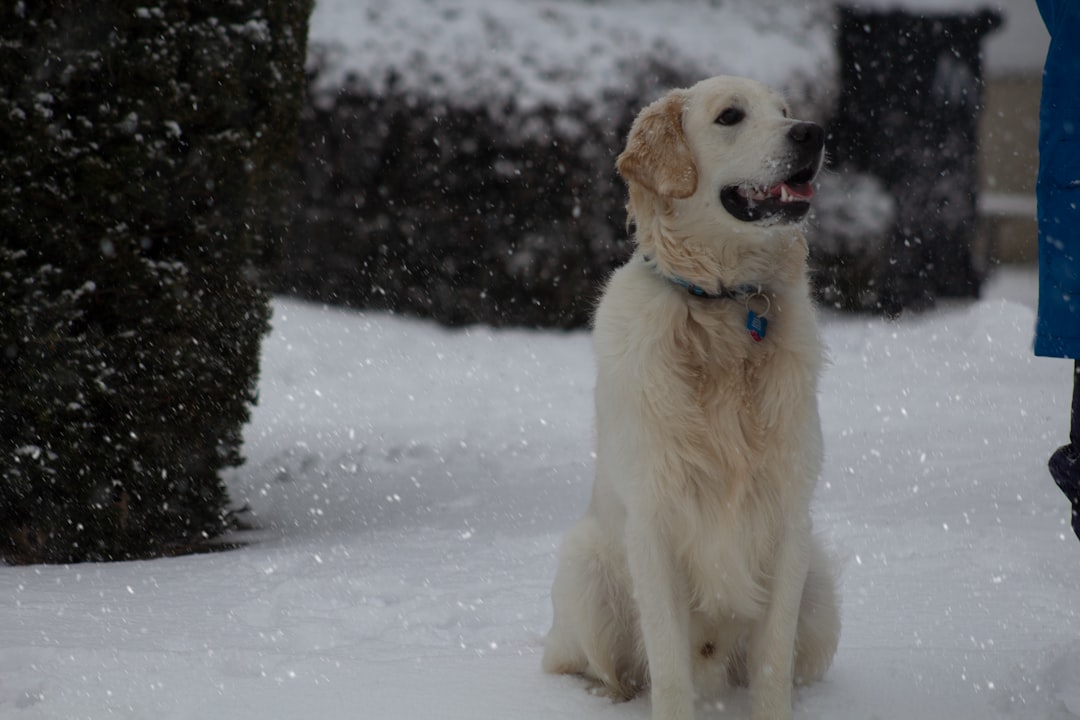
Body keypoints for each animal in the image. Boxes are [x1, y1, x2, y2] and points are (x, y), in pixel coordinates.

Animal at [544, 74, 838, 720]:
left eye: (784, 110)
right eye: (730, 116)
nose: (812, 132)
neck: (722, 306)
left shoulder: (789, 519)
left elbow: (772, 663)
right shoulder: (654, 523)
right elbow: (669, 667)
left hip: (822, 586)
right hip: (584, 570)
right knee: (590, 666)